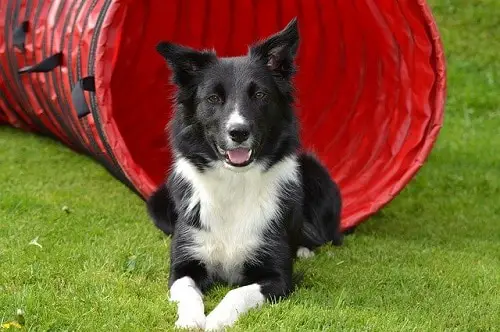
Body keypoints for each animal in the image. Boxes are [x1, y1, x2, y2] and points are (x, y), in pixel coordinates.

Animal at [147, 18, 344, 332]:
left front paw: (215, 320)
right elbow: (188, 291)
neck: (234, 181)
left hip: (318, 176)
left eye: (260, 95)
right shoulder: (183, 266)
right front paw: (190, 320)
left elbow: (236, 293)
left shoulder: (276, 276)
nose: (238, 132)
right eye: (213, 98)